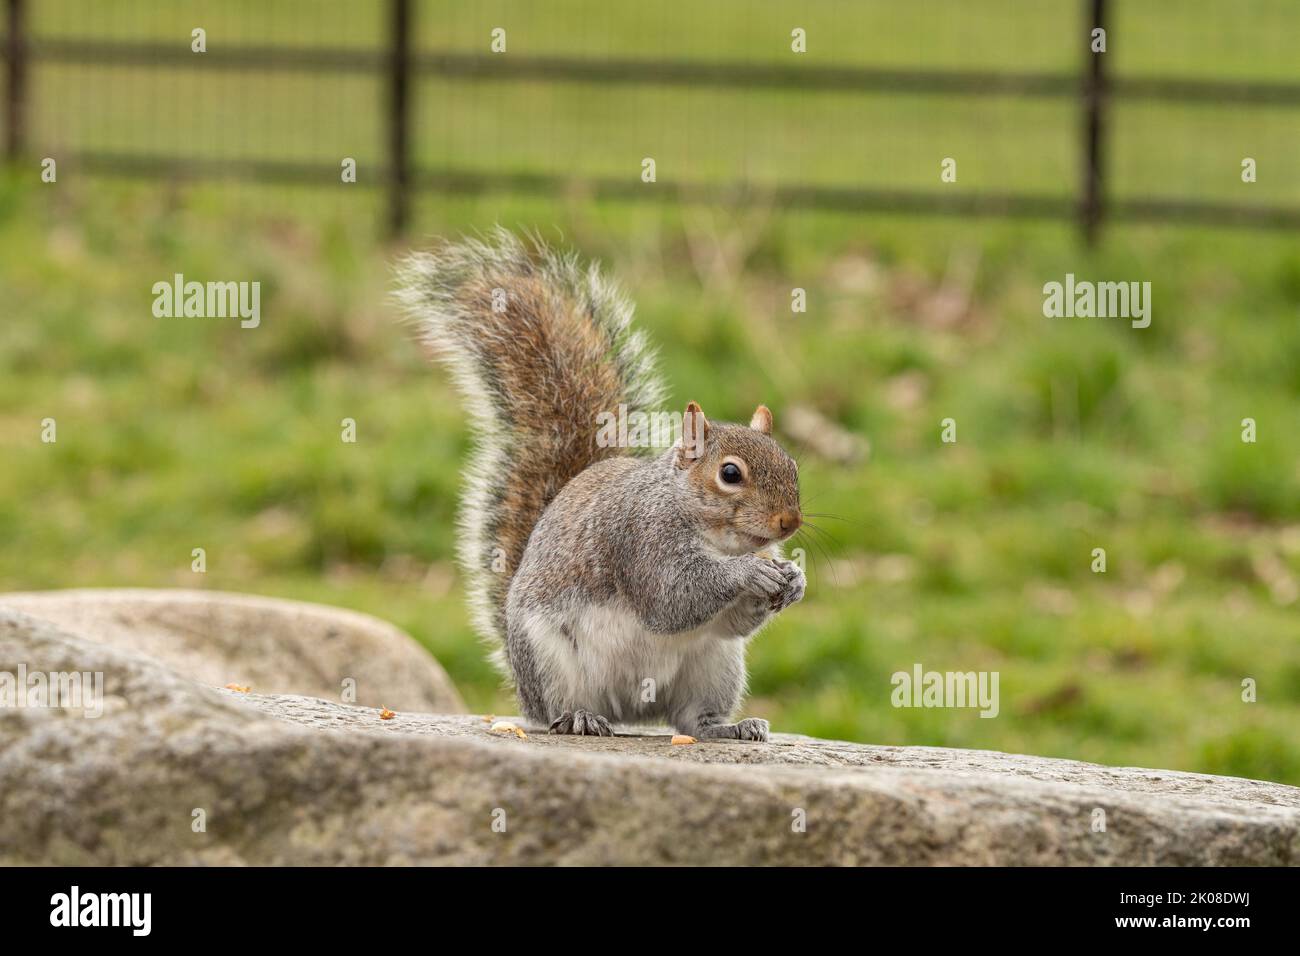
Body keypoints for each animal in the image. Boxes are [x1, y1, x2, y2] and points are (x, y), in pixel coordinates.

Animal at [395, 230, 800, 738]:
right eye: (730, 474)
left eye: (792, 465)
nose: (790, 523)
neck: (718, 537)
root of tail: (630, 712)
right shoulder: (639, 539)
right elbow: (672, 596)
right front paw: (748, 573)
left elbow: (733, 622)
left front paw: (794, 580)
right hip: (549, 659)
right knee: (560, 708)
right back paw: (579, 717)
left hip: (715, 665)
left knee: (691, 717)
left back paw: (726, 727)